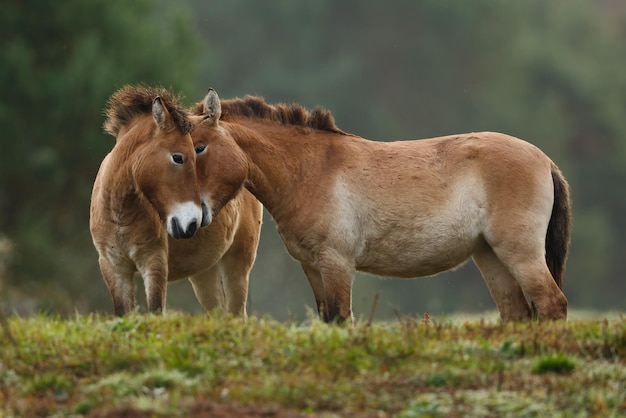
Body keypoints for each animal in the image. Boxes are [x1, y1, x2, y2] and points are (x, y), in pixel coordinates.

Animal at [89, 85, 260, 316]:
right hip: (205, 272)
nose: (192, 223)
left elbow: (155, 311)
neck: (119, 213)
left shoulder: (154, 262)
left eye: (198, 152)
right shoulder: (114, 268)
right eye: (178, 157)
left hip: (237, 263)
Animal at [190, 88, 572, 324]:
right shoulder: (312, 266)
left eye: (198, 147)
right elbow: (327, 319)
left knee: (552, 304)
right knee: (517, 313)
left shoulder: (337, 263)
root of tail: (546, 161)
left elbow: (341, 318)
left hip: (520, 253)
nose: (192, 220)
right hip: (490, 256)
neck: (310, 170)